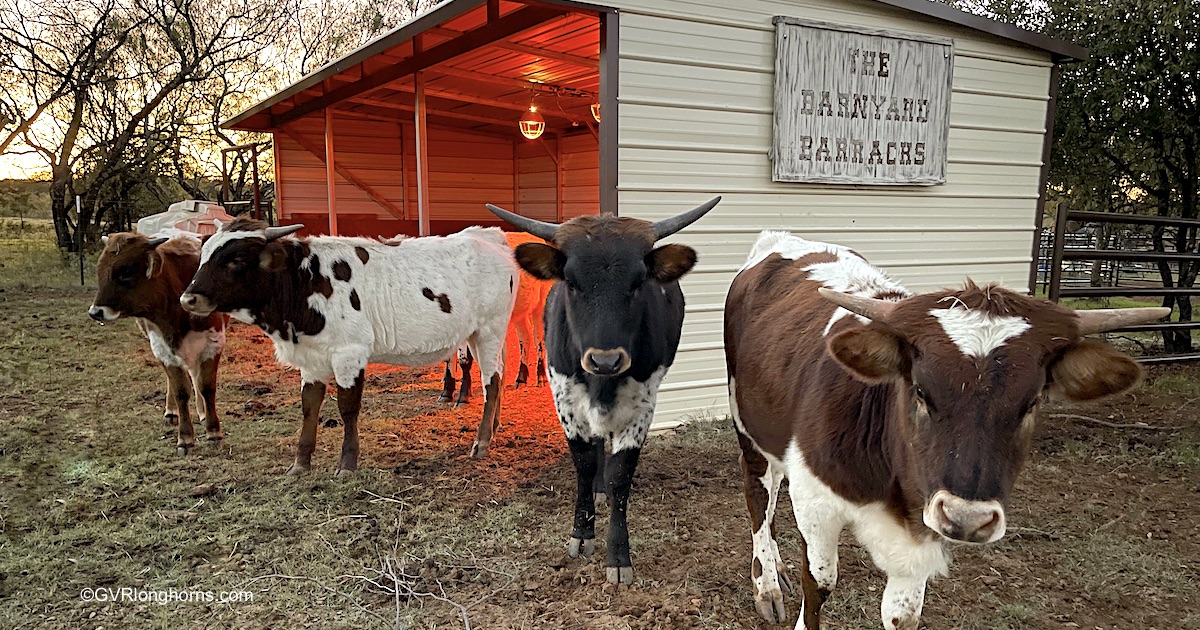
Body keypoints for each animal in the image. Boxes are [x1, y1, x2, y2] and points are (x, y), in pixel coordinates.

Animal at [88, 230, 226, 451]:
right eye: (100, 270)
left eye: (126, 271)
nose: (95, 312)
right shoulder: (162, 348)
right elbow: (180, 391)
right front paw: (185, 438)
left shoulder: (213, 343)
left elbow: (206, 387)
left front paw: (213, 431)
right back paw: (172, 412)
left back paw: (202, 412)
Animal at [482, 196, 715, 585]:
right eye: (571, 281)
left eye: (638, 282)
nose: (606, 360)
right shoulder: (565, 400)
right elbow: (584, 462)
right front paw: (582, 532)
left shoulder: (642, 406)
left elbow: (620, 475)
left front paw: (618, 556)